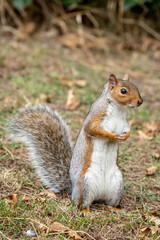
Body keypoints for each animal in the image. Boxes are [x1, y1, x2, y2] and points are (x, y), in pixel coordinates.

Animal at [9, 73, 142, 214]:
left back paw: (115, 208)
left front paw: (125, 137)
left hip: (117, 185)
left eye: (136, 87)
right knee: (81, 204)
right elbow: (93, 129)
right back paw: (85, 212)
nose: (140, 101)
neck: (118, 108)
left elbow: (127, 131)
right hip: (84, 185)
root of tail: (72, 188)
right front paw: (112, 136)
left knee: (109, 203)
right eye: (123, 91)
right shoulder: (96, 116)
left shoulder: (124, 123)